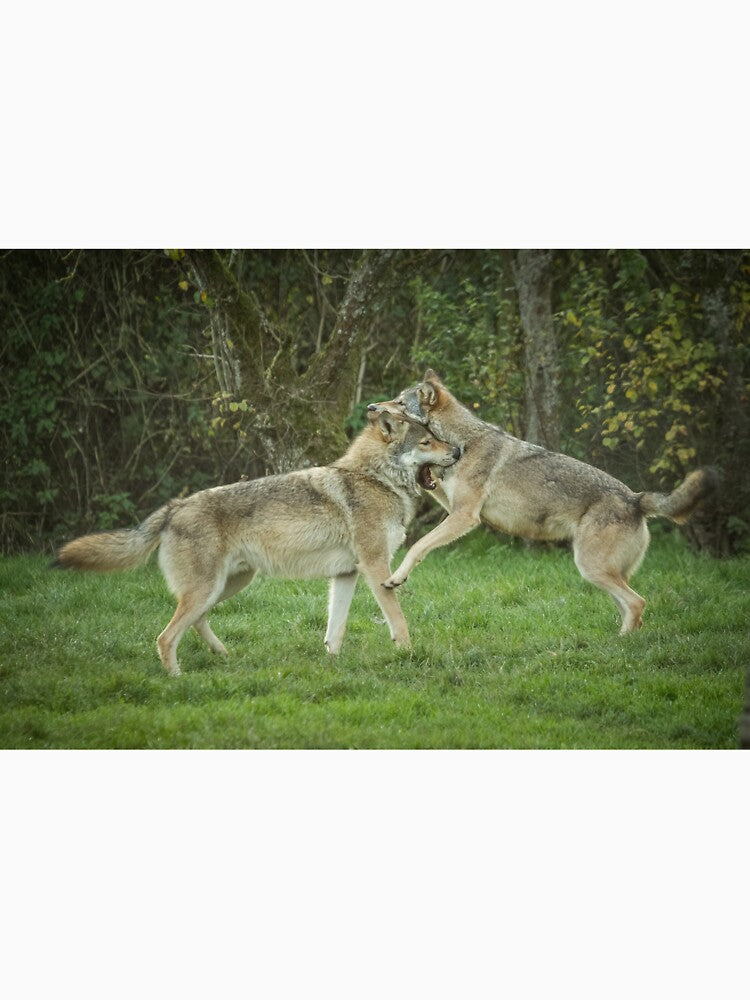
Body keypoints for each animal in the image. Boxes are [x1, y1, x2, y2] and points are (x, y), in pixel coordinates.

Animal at [54, 411, 460, 675]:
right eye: (427, 442)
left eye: (437, 437)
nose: (457, 452)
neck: (375, 479)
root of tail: (175, 506)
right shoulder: (376, 568)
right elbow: (398, 620)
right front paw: (408, 656)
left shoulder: (346, 574)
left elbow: (336, 630)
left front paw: (332, 665)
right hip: (209, 589)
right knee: (165, 637)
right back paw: (178, 680)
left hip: (227, 585)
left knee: (195, 624)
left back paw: (222, 655)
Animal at [369, 370, 716, 634]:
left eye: (400, 402)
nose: (373, 406)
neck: (462, 441)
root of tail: (635, 498)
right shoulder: (452, 505)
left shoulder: (465, 516)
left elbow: (417, 546)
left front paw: (396, 578)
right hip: (604, 573)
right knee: (634, 608)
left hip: (591, 568)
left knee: (637, 603)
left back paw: (621, 646)